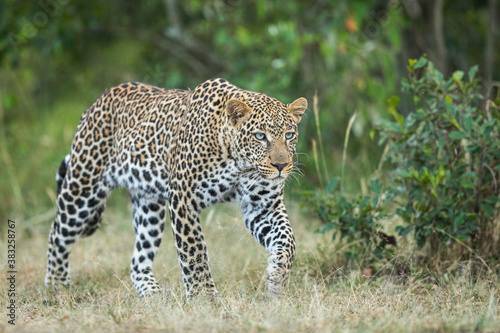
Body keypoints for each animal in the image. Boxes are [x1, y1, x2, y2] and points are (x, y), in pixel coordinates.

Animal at [45, 78, 306, 298]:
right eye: (260, 136)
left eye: (289, 135)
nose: (281, 165)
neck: (240, 164)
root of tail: (98, 101)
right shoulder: (182, 199)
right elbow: (194, 251)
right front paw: (204, 298)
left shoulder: (263, 207)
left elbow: (288, 241)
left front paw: (276, 280)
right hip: (83, 190)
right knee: (57, 232)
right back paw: (57, 285)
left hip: (149, 206)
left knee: (138, 259)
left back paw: (152, 294)